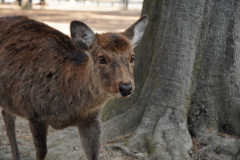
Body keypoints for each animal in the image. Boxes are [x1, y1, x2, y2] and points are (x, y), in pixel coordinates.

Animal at [0, 14, 148, 159]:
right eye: (101, 58)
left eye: (132, 57)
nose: (126, 87)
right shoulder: (35, 114)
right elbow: (41, 152)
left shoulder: (91, 119)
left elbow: (94, 153)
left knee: (7, 115)